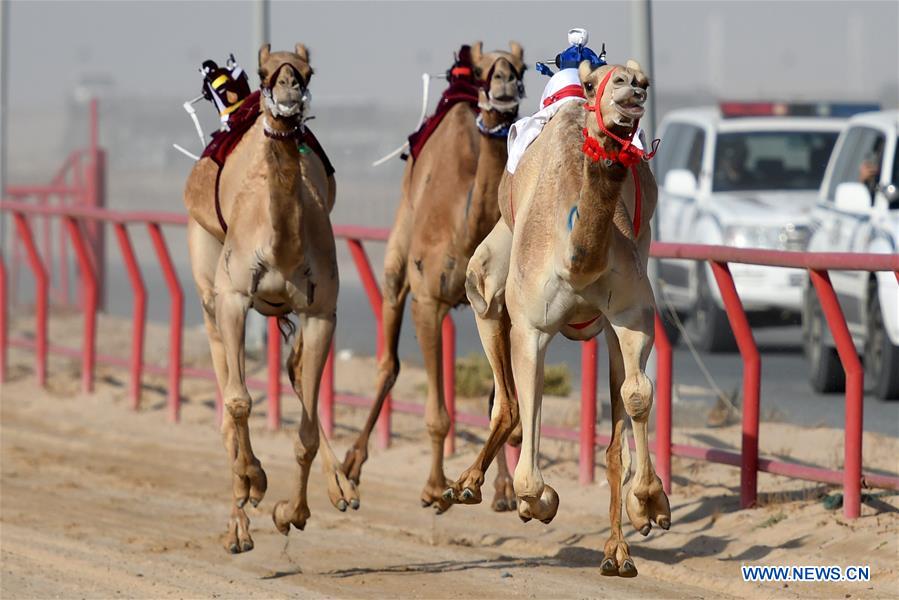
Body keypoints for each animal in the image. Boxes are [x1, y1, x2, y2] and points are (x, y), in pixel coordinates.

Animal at [183, 43, 355, 554]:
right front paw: (254, 481)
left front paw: (290, 513)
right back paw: (239, 518)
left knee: (295, 375)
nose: (288, 91)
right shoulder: (234, 297)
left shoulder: (322, 311)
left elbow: (305, 433)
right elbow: (239, 402)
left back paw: (342, 489)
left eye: (308, 71)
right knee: (226, 396)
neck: (283, 246)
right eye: (263, 72)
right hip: (208, 284)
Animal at [340, 42, 526, 514]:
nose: (505, 82)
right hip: (399, 252)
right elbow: (437, 414)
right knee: (388, 364)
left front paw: (500, 490)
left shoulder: (500, 308)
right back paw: (352, 466)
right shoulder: (427, 300)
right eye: (483, 70)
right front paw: (432, 488)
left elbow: (498, 397)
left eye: (519, 66)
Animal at [443, 59, 671, 577]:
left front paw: (651, 504)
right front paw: (539, 501)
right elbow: (529, 441)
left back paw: (617, 552)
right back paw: (463, 485)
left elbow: (636, 395)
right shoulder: (531, 326)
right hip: (494, 269)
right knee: (503, 382)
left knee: (613, 428)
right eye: (593, 84)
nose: (631, 89)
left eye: (643, 79)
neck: (577, 258)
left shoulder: (632, 312)